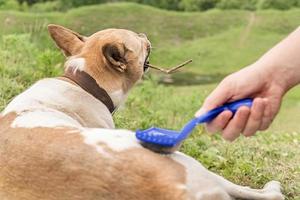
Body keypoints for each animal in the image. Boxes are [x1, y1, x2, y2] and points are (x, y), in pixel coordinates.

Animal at [0, 25, 284, 200]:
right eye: (138, 41)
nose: (144, 33)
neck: (83, 81)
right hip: (187, 163)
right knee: (254, 192)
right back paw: (271, 188)